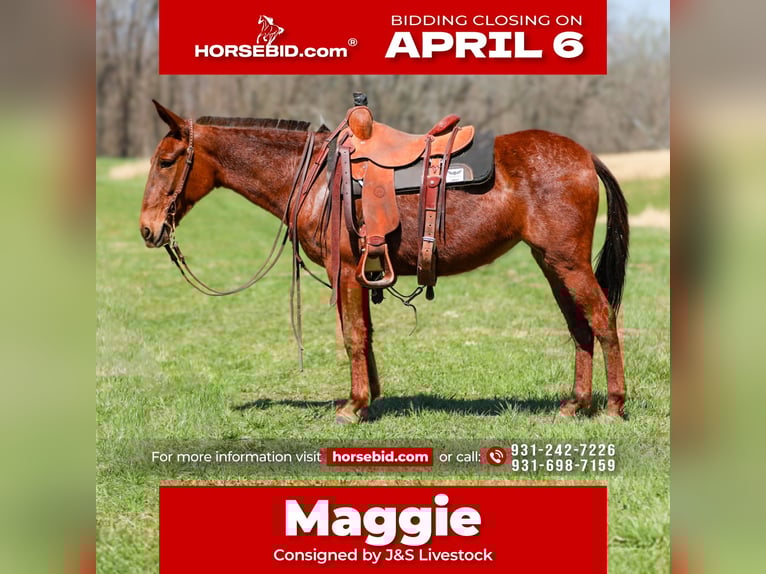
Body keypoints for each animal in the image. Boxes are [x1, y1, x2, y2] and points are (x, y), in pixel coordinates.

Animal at [139, 100, 629, 423]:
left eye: (166, 161)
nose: (147, 229)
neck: (318, 178)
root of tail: (585, 156)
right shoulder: (364, 272)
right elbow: (366, 335)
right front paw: (369, 397)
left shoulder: (345, 271)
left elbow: (353, 336)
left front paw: (353, 407)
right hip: (551, 262)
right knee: (579, 326)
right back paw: (576, 404)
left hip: (567, 262)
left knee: (602, 318)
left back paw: (613, 406)